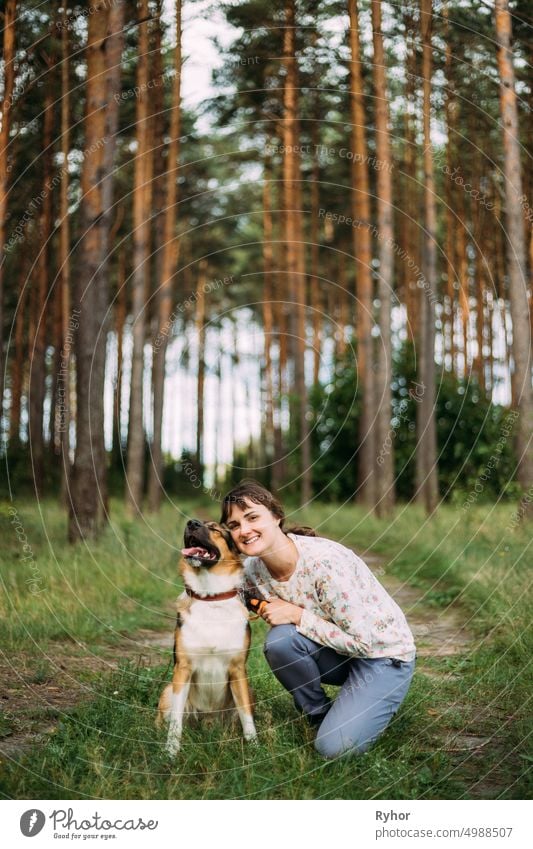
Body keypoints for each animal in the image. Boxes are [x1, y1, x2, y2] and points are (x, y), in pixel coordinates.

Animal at [156, 516, 258, 756]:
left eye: (214, 529)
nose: (191, 522)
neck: (210, 596)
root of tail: (209, 724)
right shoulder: (182, 669)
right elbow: (176, 722)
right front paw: (170, 752)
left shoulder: (238, 670)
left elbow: (247, 719)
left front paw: (256, 749)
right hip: (167, 692)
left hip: (248, 691)